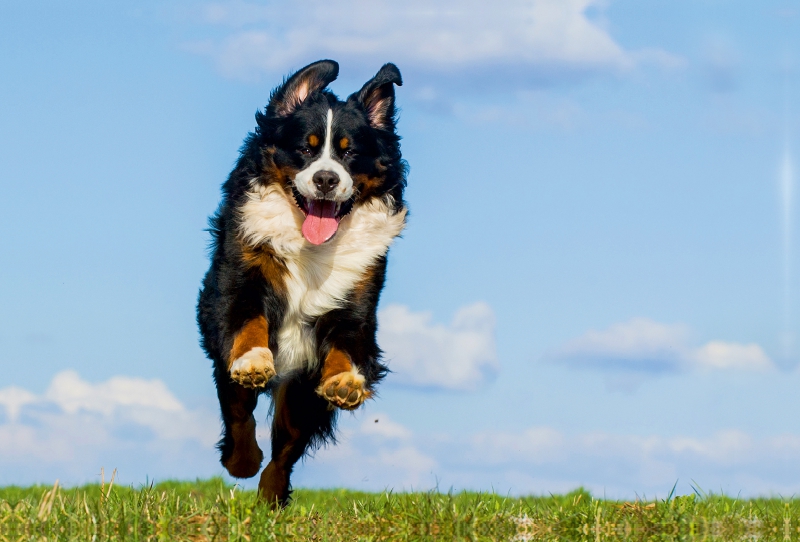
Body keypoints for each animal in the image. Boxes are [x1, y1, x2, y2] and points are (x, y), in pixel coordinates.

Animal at [195, 60, 406, 510]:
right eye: (306, 149)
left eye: (349, 152)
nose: (326, 180)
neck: (312, 248)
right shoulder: (239, 283)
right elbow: (248, 329)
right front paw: (254, 361)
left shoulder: (355, 303)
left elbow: (345, 345)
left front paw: (345, 382)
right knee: (240, 414)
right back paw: (243, 461)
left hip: (299, 395)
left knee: (286, 449)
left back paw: (270, 497)